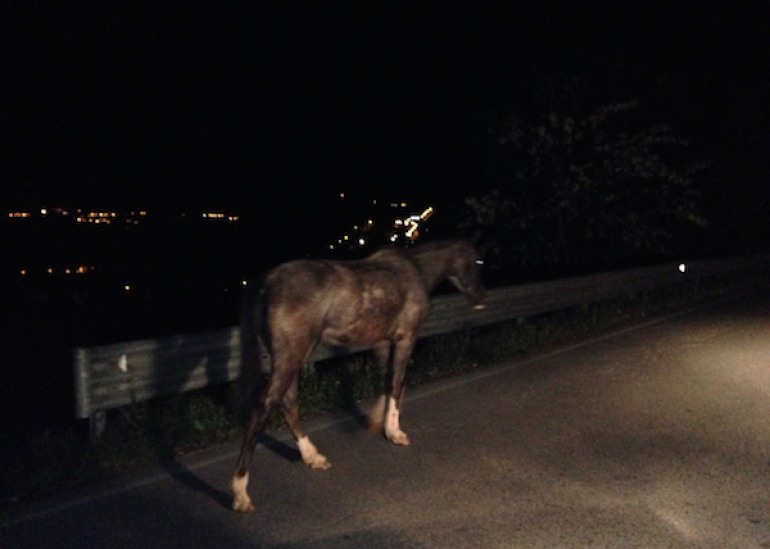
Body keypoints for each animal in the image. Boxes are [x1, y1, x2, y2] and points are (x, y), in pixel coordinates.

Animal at [228, 238, 484, 512]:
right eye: (475, 260)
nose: (480, 299)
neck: (416, 270)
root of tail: (266, 280)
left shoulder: (382, 341)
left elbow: (387, 381)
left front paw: (377, 422)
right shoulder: (406, 338)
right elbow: (398, 383)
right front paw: (395, 432)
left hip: (290, 359)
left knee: (288, 404)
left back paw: (312, 456)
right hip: (291, 356)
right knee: (263, 409)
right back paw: (241, 492)